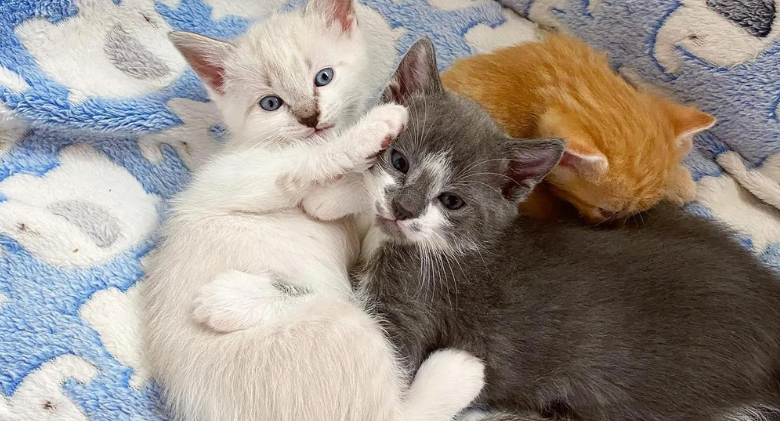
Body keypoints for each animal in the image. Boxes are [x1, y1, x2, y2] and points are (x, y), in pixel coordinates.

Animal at [140, 0, 482, 420]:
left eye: (323, 77)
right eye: (271, 103)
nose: (310, 117)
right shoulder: (237, 178)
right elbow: (304, 159)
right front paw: (373, 127)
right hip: (342, 325)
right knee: (394, 412)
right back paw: (462, 369)